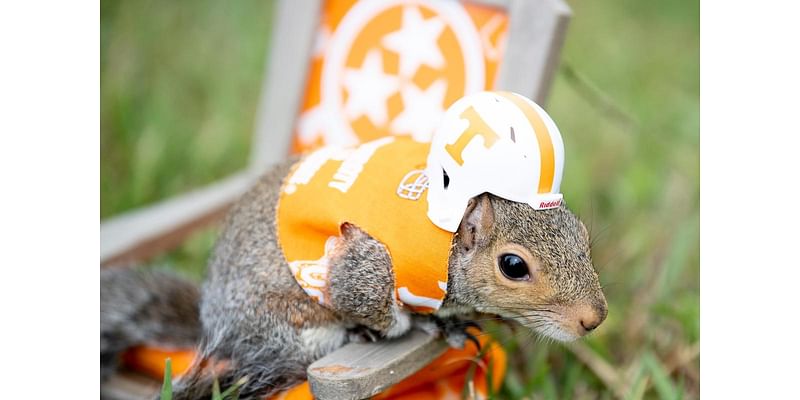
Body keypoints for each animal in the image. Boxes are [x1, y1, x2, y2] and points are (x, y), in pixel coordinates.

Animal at [98, 90, 608, 400]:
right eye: (513, 266)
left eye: (582, 236)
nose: (593, 319)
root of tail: (212, 323)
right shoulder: (367, 267)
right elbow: (376, 307)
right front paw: (412, 325)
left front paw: (451, 320)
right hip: (289, 328)